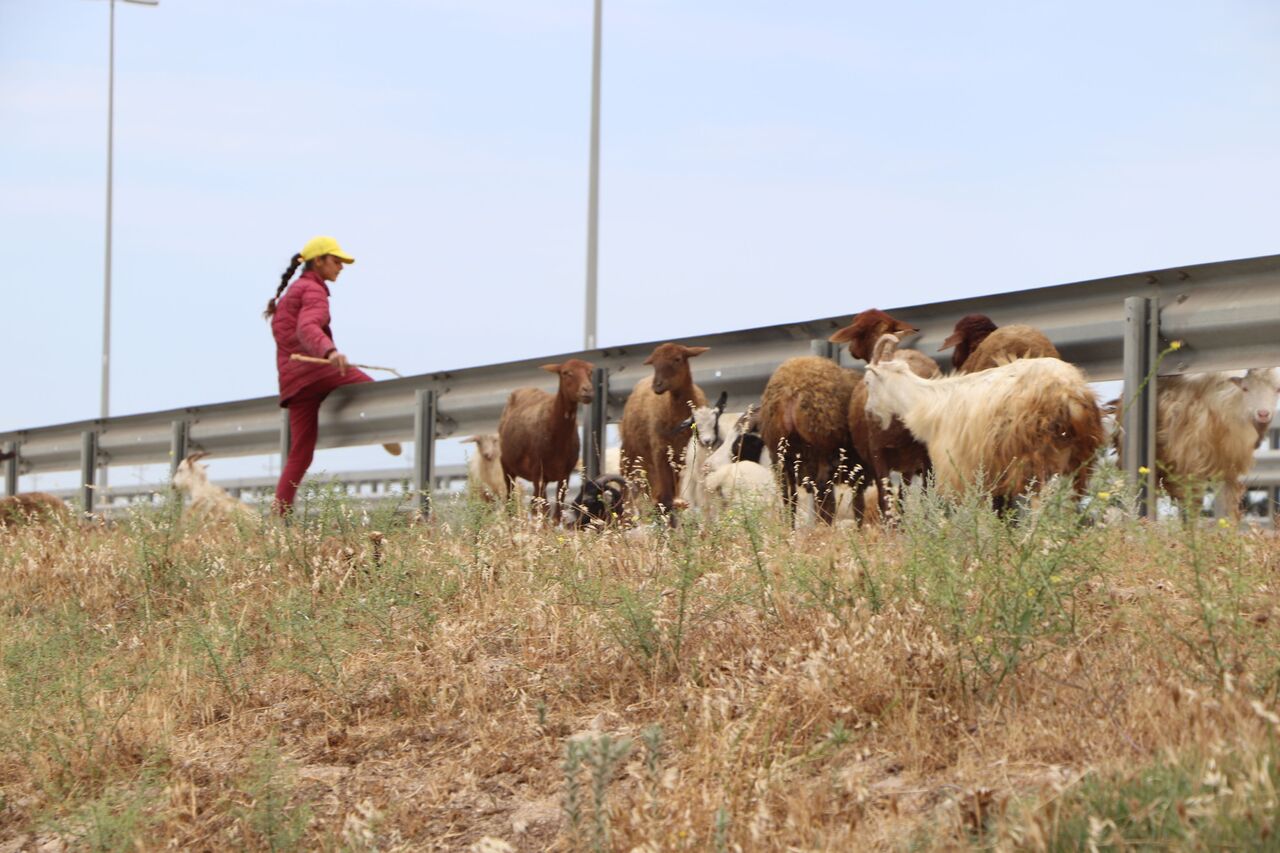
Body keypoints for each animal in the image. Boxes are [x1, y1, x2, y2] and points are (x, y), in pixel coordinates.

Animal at [499, 356, 599, 514]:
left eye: (590, 372)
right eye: (566, 372)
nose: (587, 391)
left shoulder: (564, 474)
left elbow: (557, 511)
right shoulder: (537, 471)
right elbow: (543, 509)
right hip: (507, 467)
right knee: (511, 501)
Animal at [619, 340, 711, 517]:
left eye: (677, 359)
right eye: (654, 363)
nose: (657, 385)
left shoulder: (683, 455)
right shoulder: (660, 451)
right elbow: (666, 497)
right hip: (632, 454)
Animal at [757, 353, 870, 525]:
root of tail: (791, 392)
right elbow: (859, 507)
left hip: (780, 456)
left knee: (789, 498)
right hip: (820, 452)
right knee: (824, 497)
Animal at [829, 307, 942, 517]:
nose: (850, 350)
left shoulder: (878, 454)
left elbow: (887, 500)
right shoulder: (905, 462)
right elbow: (900, 499)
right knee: (922, 497)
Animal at [865, 333, 1105, 504]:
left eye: (868, 381)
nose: (868, 412)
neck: (929, 402)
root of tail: (1069, 391)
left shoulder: (959, 469)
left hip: (1037, 454)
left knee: (1041, 501)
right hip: (1075, 456)